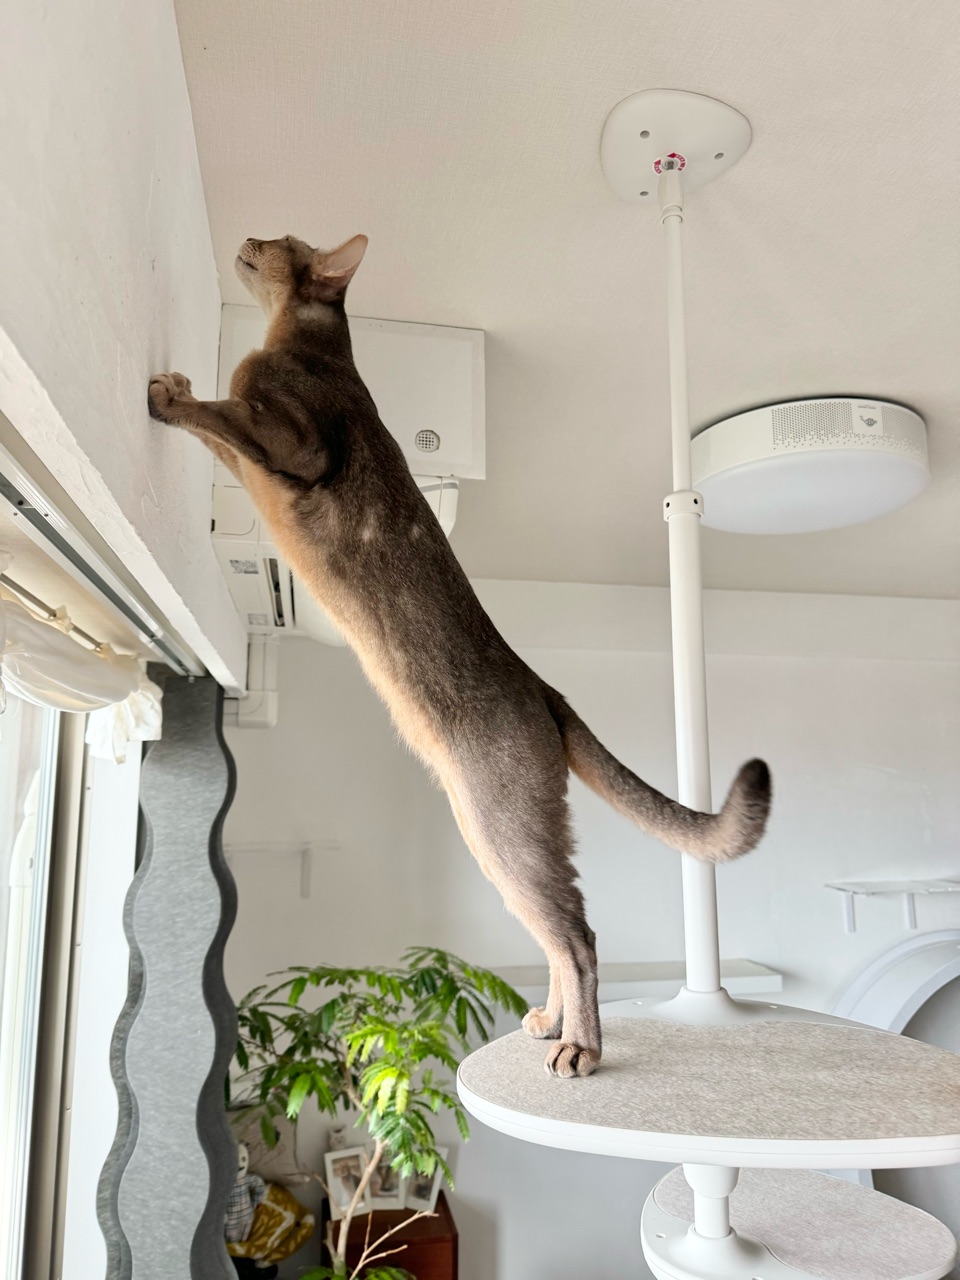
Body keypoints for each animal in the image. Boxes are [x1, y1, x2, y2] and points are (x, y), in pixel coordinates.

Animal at [148, 233, 771, 1078]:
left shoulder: (297, 442)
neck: (303, 341)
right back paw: (549, 1023)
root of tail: (544, 687)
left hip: (504, 825)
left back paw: (581, 1048)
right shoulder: (257, 446)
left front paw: (171, 394)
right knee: (556, 929)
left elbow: (219, 416)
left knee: (578, 932)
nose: (247, 240)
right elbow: (222, 435)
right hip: (488, 835)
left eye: (282, 245)